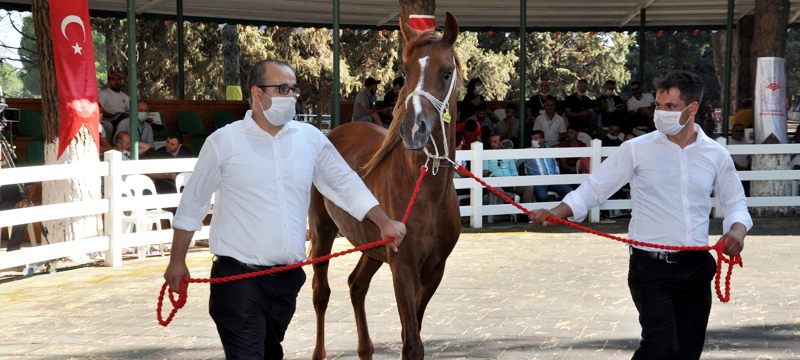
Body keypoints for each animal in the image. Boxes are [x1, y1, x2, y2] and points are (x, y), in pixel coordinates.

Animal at [310, 11, 466, 360]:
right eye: (404, 72)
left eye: (446, 72)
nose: (413, 129)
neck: (425, 192)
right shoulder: (403, 268)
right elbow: (412, 343)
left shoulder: (434, 270)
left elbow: (414, 332)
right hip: (322, 231)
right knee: (320, 293)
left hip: (371, 247)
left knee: (356, 286)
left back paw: (365, 348)